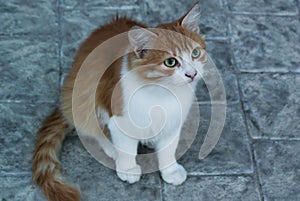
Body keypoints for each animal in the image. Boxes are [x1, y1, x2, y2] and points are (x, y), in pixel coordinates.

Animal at [32, 2, 206, 201]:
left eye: (195, 53)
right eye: (170, 62)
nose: (192, 74)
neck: (163, 92)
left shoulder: (174, 120)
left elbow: (168, 149)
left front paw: (170, 170)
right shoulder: (118, 116)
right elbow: (125, 146)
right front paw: (128, 168)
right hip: (84, 97)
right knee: (89, 129)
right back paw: (111, 148)